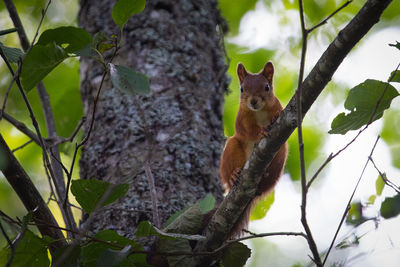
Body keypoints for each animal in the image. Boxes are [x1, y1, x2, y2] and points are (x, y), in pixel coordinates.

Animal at [219, 61, 288, 239]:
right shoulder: (242, 119)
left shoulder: (279, 107)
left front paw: (273, 119)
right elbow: (250, 131)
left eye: (266, 87)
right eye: (242, 88)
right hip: (232, 148)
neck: (260, 112)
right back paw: (234, 175)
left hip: (280, 154)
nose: (253, 101)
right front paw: (261, 131)